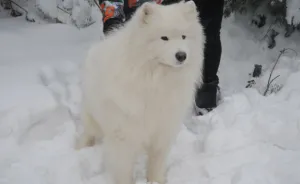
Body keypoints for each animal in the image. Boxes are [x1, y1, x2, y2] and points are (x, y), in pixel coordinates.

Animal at [76, 1, 205, 184]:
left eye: (183, 37)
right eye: (164, 38)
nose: (181, 55)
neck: (155, 81)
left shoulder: (163, 129)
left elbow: (157, 162)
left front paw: (156, 180)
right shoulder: (124, 134)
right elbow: (123, 169)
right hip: (93, 116)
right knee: (88, 133)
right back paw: (81, 147)